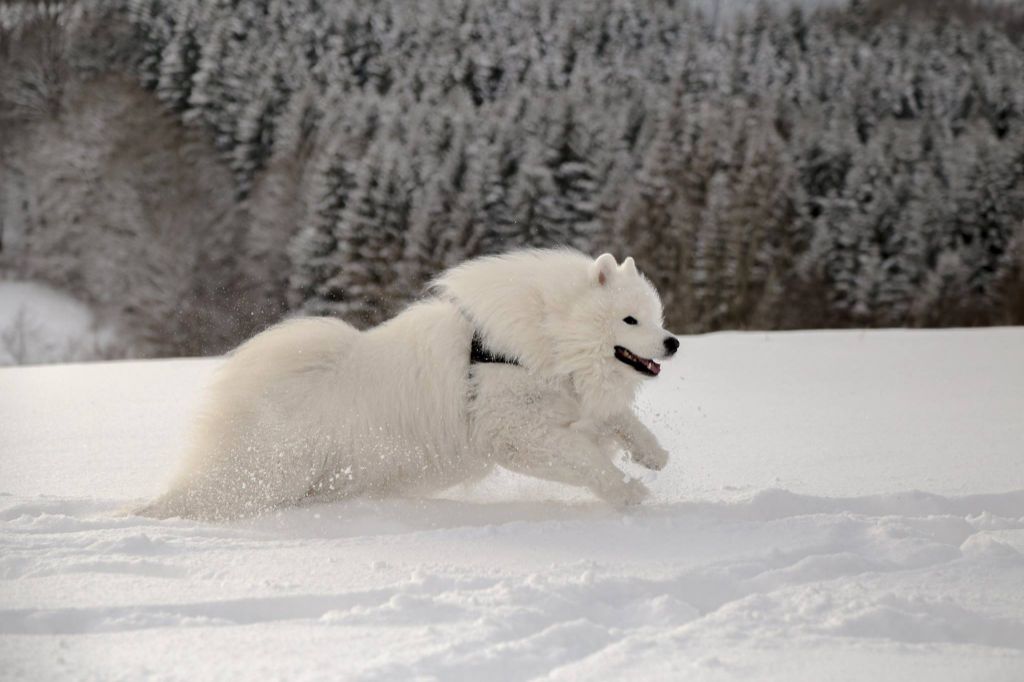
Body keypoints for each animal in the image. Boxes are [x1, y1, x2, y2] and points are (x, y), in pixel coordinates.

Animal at [138, 246, 679, 518]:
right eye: (630, 320)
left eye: (657, 318)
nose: (673, 342)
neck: (544, 335)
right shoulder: (513, 431)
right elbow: (584, 459)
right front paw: (627, 493)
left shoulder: (564, 403)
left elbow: (618, 419)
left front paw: (653, 454)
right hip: (274, 468)